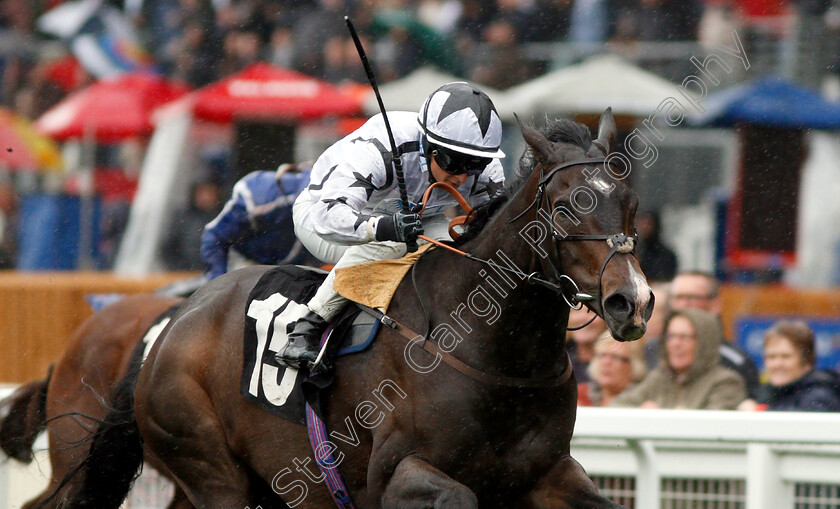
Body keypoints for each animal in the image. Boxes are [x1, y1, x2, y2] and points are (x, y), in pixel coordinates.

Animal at [67, 109, 656, 506]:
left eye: (631, 202)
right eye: (566, 206)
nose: (632, 301)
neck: (495, 355)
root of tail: (170, 326)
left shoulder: (548, 474)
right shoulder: (394, 476)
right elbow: (457, 493)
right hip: (211, 468)